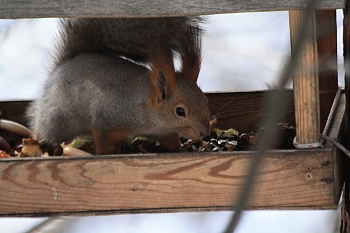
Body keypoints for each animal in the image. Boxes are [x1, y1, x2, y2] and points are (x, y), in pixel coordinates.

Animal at [28, 17, 211, 154]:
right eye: (180, 111)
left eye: (206, 101)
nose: (205, 133)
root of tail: (61, 67)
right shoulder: (107, 119)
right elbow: (103, 140)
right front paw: (106, 154)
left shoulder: (166, 133)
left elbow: (171, 142)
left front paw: (181, 149)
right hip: (58, 119)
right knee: (46, 133)